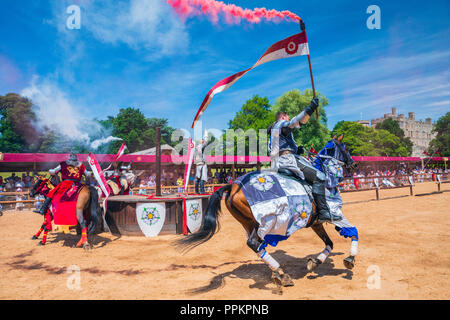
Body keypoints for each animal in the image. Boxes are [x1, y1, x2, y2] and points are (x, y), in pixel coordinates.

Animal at [175, 135, 358, 288]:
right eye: (346, 148)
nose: (354, 164)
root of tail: (232, 186)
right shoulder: (336, 215)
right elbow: (354, 231)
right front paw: (350, 258)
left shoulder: (316, 223)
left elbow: (329, 243)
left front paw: (315, 261)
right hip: (267, 222)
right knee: (254, 243)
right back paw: (280, 273)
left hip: (249, 223)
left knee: (257, 246)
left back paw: (279, 273)